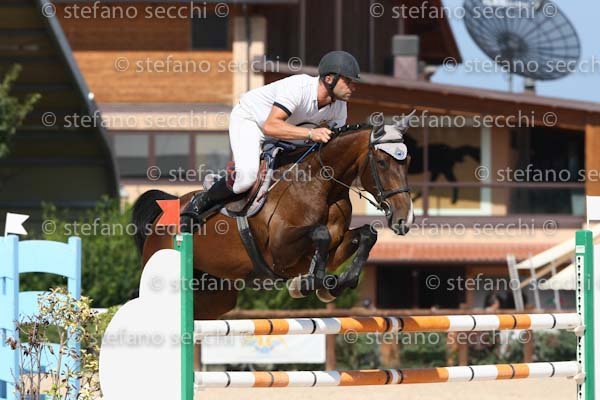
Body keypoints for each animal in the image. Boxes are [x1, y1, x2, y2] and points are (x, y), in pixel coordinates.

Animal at [132, 119, 414, 320]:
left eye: (408, 161)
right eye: (382, 162)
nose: (405, 219)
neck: (318, 185)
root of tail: (164, 213)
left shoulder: (337, 244)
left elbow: (367, 234)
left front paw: (335, 284)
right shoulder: (280, 250)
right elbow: (320, 233)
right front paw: (310, 283)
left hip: (217, 294)